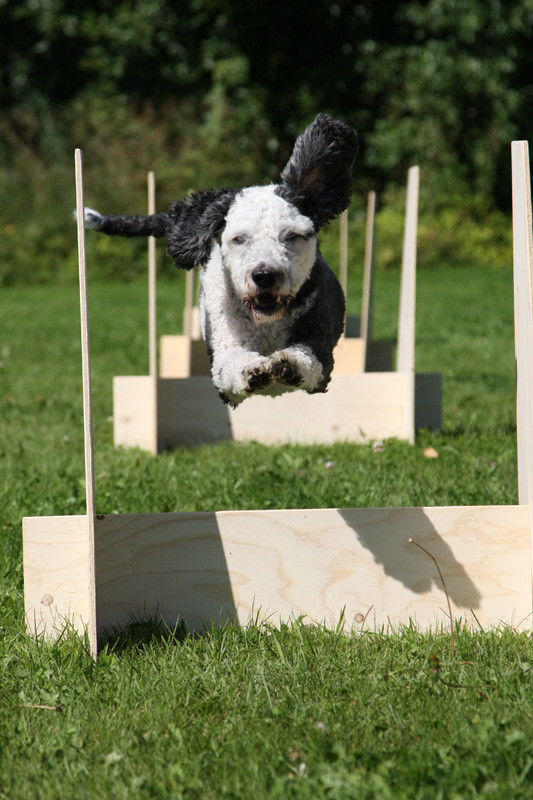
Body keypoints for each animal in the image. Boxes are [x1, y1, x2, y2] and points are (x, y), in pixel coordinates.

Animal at [84, 112, 358, 406]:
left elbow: (309, 357)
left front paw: (289, 363)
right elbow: (231, 363)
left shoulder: (322, 349)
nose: (264, 275)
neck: (267, 325)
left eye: (291, 236)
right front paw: (251, 370)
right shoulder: (223, 347)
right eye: (239, 239)